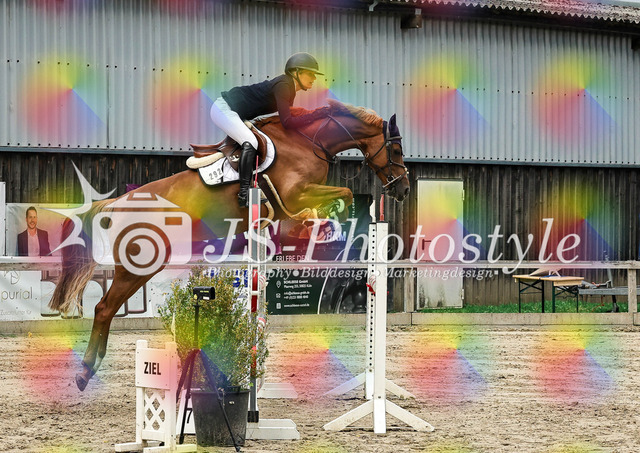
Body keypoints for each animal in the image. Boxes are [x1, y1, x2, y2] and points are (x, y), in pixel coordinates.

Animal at [49, 99, 411, 391]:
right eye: (396, 150)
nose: (403, 189)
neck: (308, 142)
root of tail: (114, 204)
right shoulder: (295, 195)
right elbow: (343, 195)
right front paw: (328, 225)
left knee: (107, 309)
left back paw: (91, 367)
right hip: (138, 265)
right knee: (104, 308)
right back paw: (85, 371)